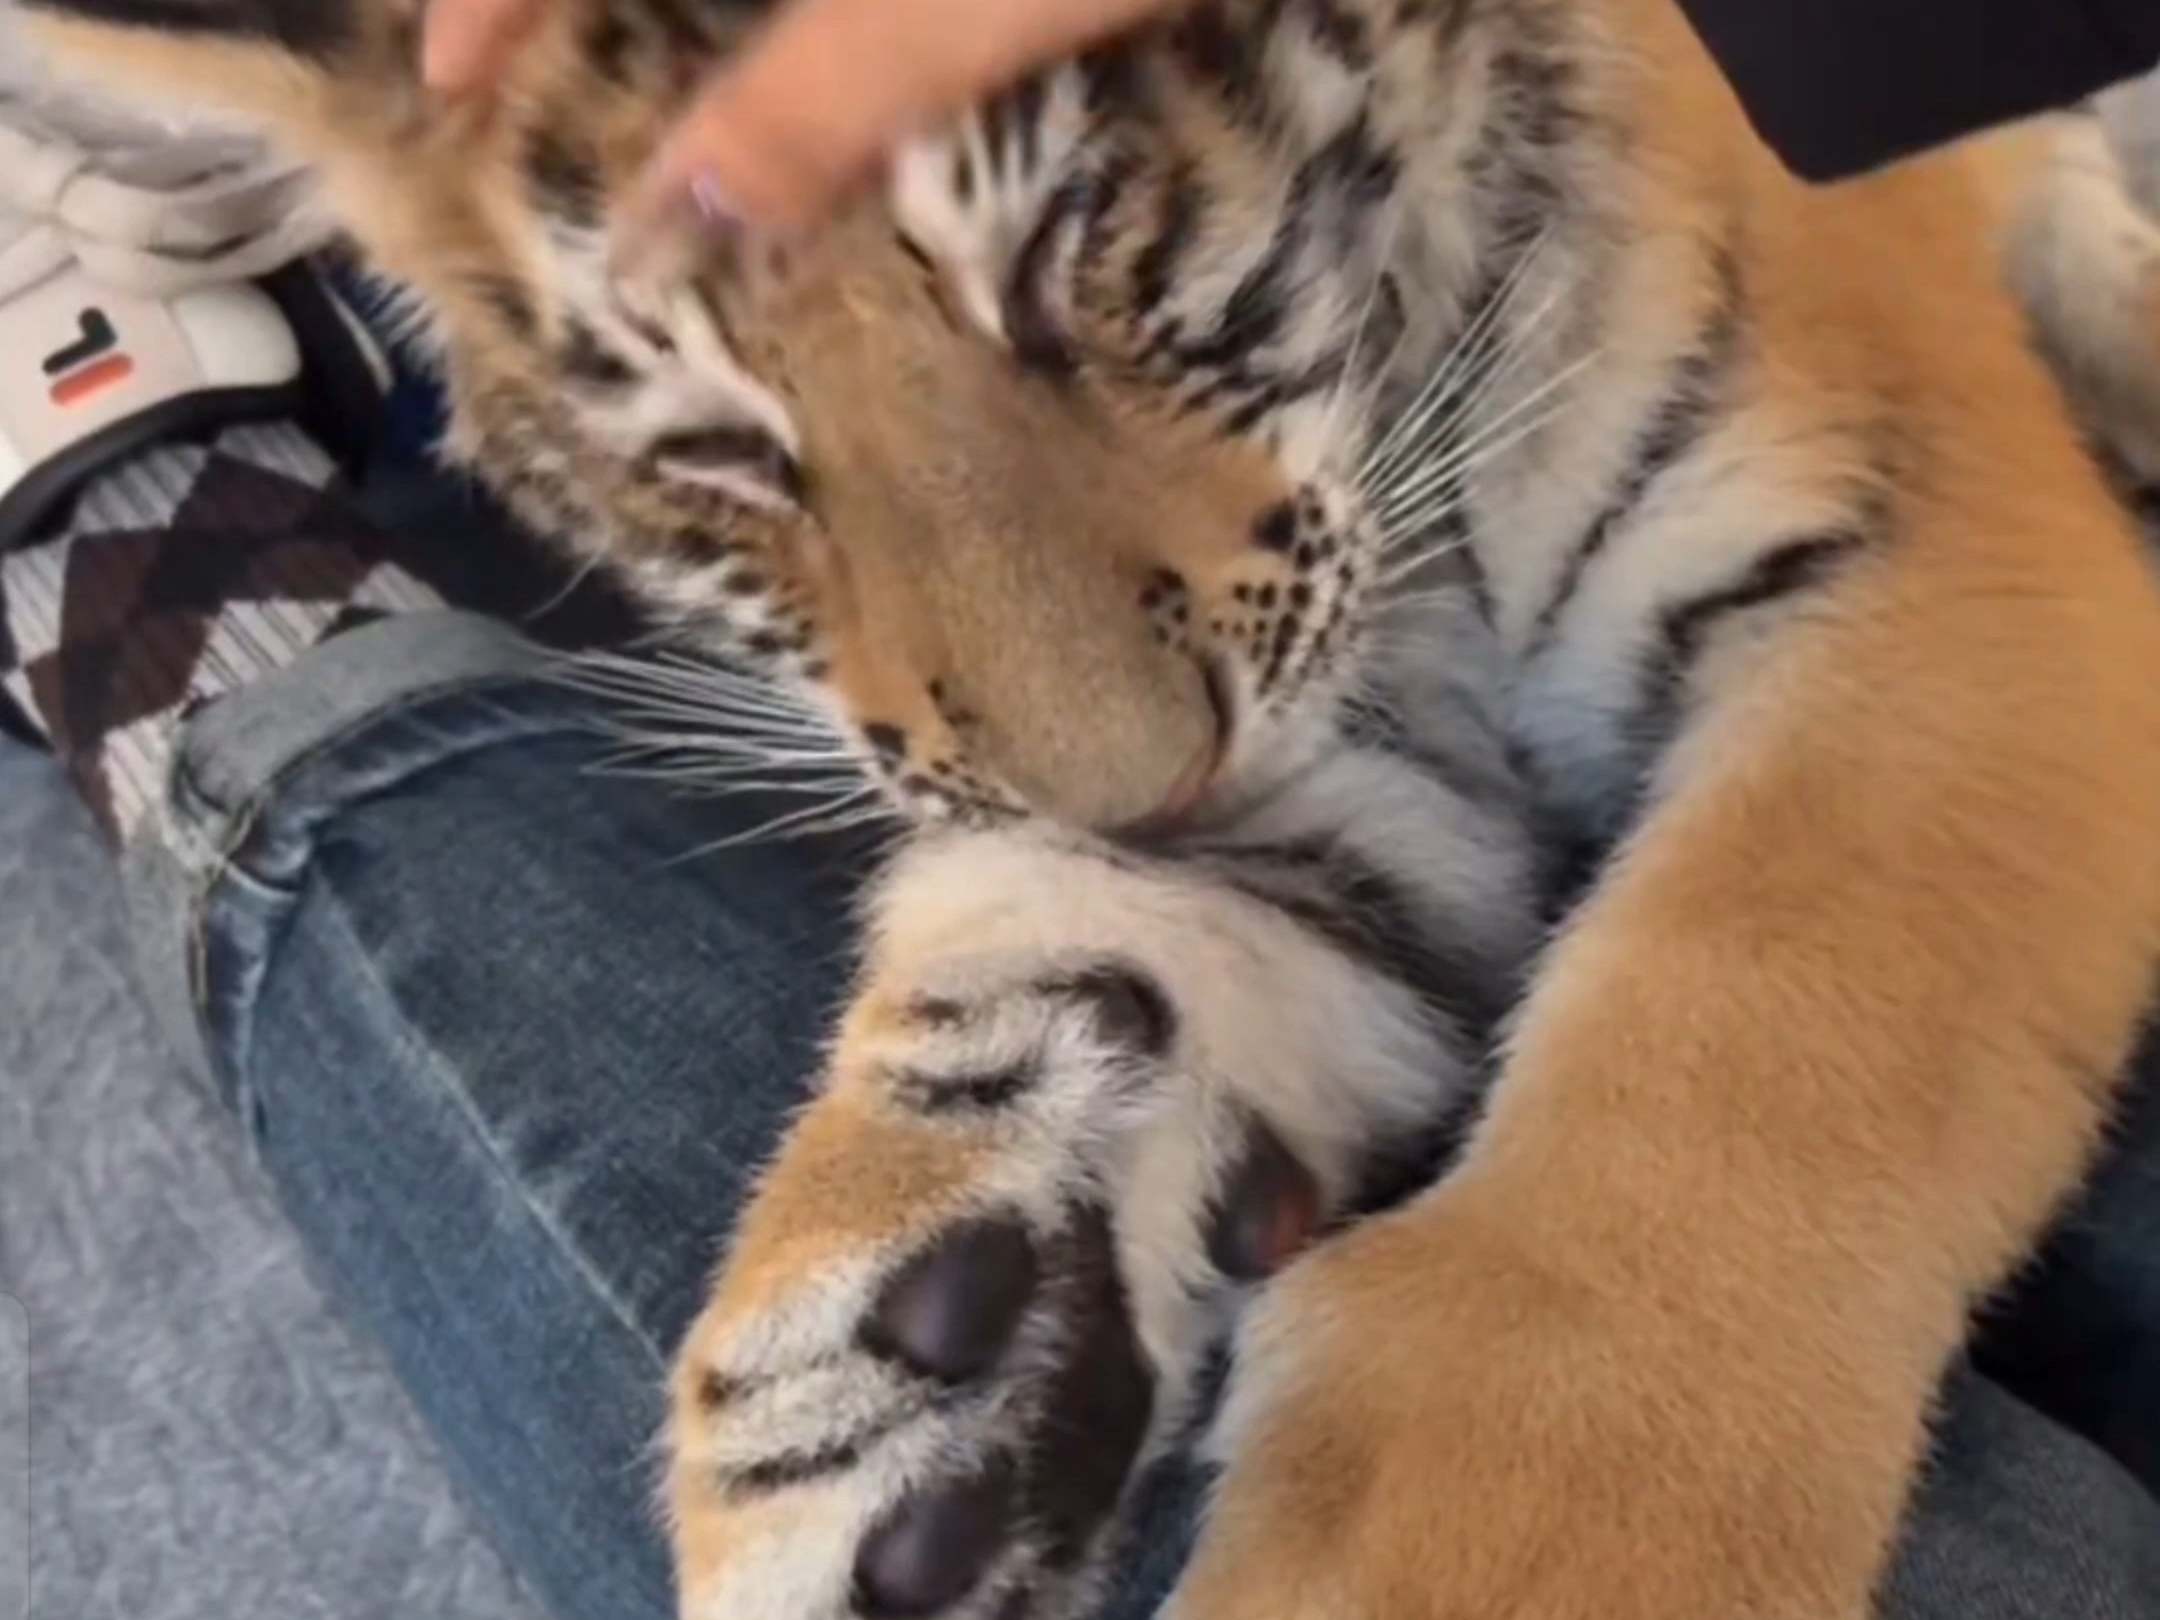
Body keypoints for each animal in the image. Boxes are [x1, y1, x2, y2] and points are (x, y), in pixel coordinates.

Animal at [19, 0, 2160, 1616]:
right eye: (718, 451)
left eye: (1072, 238)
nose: (1148, 791)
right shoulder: (1345, 756)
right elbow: (1086, 952)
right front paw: (903, 1373)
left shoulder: (1929, 569)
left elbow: (1745, 1034)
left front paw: (1495, 1550)